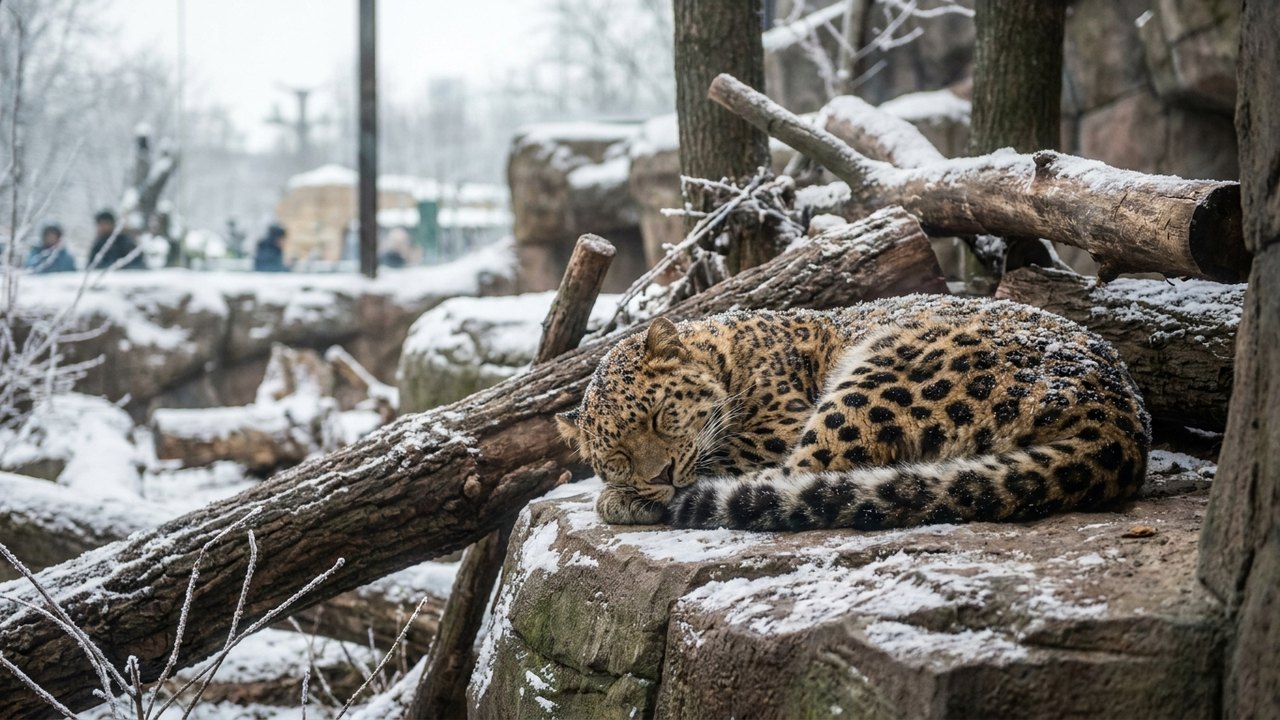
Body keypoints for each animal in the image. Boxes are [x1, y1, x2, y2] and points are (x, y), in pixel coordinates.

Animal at [556, 294, 1151, 531]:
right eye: (615, 454)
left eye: (659, 416)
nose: (656, 474)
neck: (725, 352)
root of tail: (1123, 417)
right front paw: (626, 490)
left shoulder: (777, 425)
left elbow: (721, 454)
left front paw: (623, 499)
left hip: (883, 372)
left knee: (803, 474)